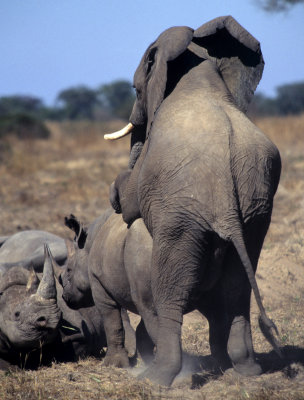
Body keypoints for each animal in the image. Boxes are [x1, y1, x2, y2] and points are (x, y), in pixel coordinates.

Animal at [105, 16, 282, 388]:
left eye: (135, 89)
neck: (199, 71)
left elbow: (133, 202)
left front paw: (119, 198)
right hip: (255, 214)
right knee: (237, 290)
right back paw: (246, 370)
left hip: (182, 217)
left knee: (168, 293)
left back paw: (159, 378)